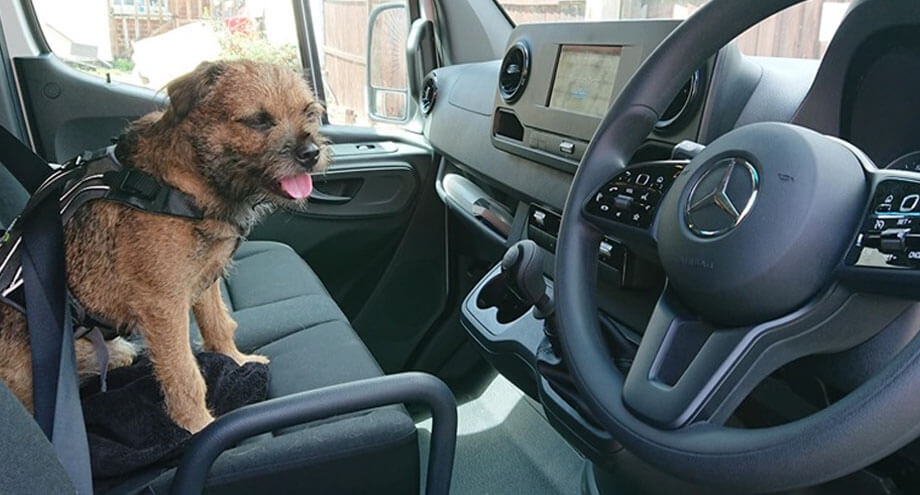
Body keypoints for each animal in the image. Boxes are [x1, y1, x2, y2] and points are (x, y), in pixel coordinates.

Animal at [0, 59, 330, 434]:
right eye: (258, 120)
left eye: (309, 112)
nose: (311, 153)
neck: (189, 180)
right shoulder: (163, 304)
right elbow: (183, 371)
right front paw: (198, 424)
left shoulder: (204, 278)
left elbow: (218, 325)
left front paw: (237, 360)